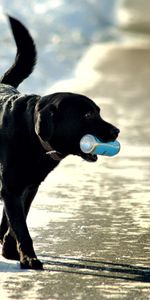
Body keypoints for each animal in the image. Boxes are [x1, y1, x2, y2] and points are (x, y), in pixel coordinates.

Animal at [0, 16, 119, 270]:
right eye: (87, 115)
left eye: (98, 111)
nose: (117, 130)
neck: (32, 137)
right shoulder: (12, 186)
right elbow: (20, 226)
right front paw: (29, 258)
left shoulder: (28, 186)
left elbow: (17, 220)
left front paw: (11, 250)